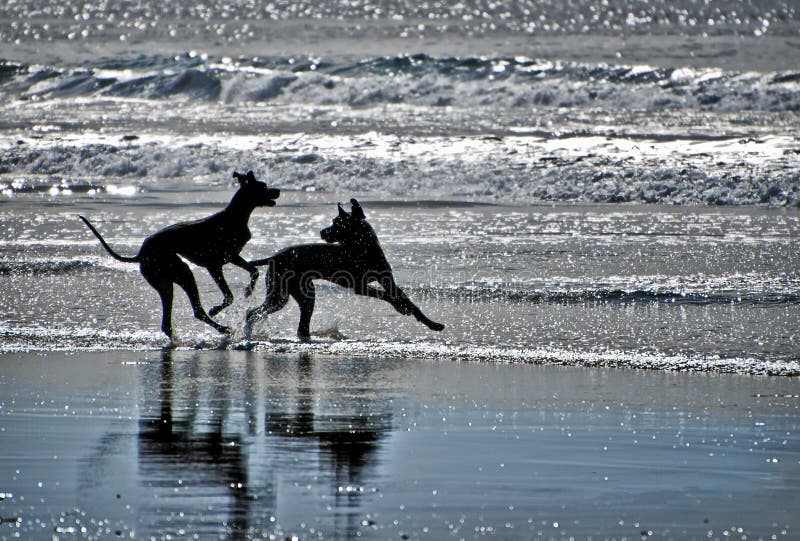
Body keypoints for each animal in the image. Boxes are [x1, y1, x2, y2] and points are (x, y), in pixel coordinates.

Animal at [81, 171, 280, 338]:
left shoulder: (231, 257)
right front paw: (216, 309)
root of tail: (140, 254)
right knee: (198, 310)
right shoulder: (214, 265)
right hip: (183, 272)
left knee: (169, 322)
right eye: (263, 186)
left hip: (166, 282)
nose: (277, 190)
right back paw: (222, 329)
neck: (236, 216)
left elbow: (254, 270)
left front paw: (248, 290)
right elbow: (229, 295)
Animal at [244, 198, 444, 338]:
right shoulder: (359, 285)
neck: (363, 248)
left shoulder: (387, 281)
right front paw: (400, 306)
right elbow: (387, 296)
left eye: (338, 223)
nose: (321, 232)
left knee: (300, 322)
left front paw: (432, 323)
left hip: (302, 293)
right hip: (279, 294)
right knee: (252, 312)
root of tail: (273, 257)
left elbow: (408, 301)